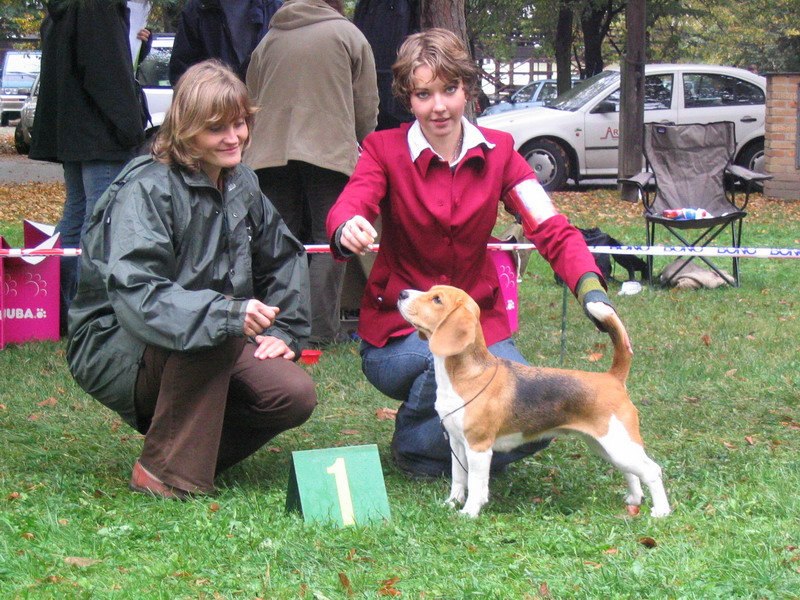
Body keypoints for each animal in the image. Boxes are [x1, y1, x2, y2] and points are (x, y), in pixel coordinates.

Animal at [398, 284, 668, 516]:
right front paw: (452, 503)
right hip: (604, 445)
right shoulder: (456, 443)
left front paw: (469, 512)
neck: (466, 374)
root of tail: (612, 377)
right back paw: (634, 499)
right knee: (632, 472)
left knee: (652, 470)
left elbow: (475, 483)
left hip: (618, 444)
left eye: (437, 299)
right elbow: (458, 478)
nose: (401, 293)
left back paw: (661, 511)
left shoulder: (478, 447)